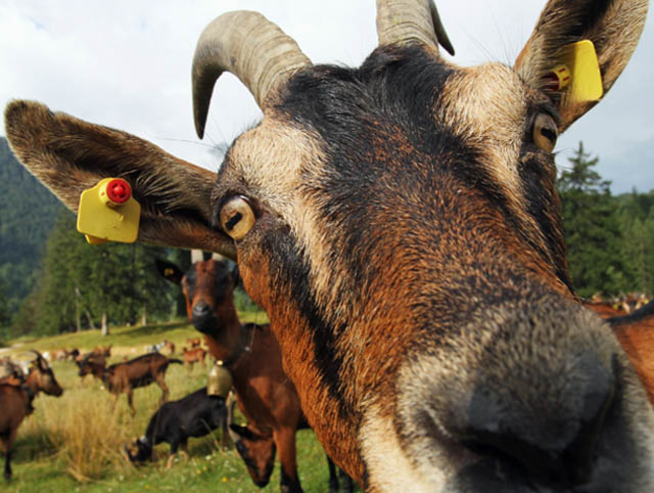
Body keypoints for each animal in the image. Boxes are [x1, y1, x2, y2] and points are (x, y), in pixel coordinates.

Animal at [158, 258, 354, 492]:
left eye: (226, 280)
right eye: (185, 283)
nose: (201, 312)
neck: (249, 358)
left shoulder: (284, 426)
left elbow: (289, 484)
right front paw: (336, 484)